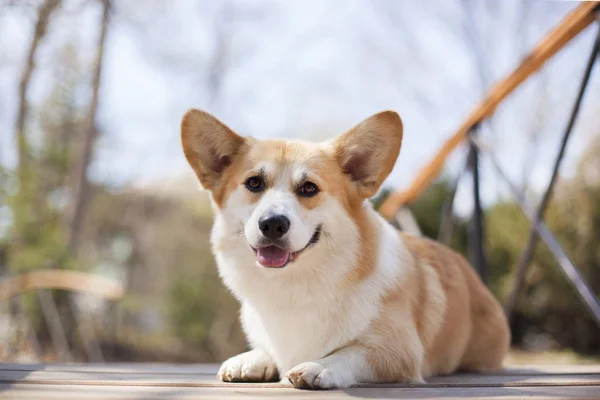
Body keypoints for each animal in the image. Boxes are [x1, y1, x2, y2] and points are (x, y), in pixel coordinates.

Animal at [180, 108, 508, 388]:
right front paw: (249, 360)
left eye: (309, 188)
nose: (272, 224)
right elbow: (265, 349)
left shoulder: (398, 350)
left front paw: (318, 366)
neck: (294, 286)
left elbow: (348, 353)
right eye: (254, 183)